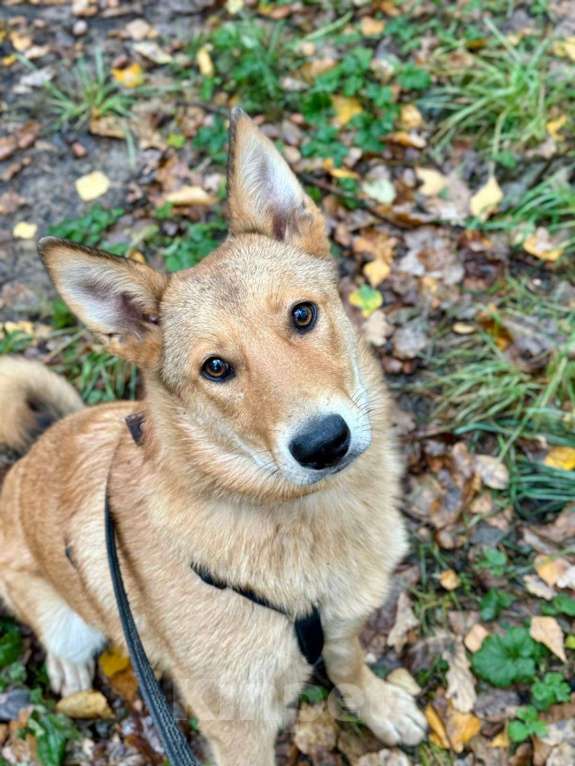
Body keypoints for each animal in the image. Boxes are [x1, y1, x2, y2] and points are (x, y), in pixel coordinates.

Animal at [0, 109, 428, 766]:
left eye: (303, 314)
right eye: (217, 368)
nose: (323, 443)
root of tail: (29, 451)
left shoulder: (343, 623)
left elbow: (349, 664)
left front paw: (376, 705)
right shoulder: (237, 725)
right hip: (59, 615)